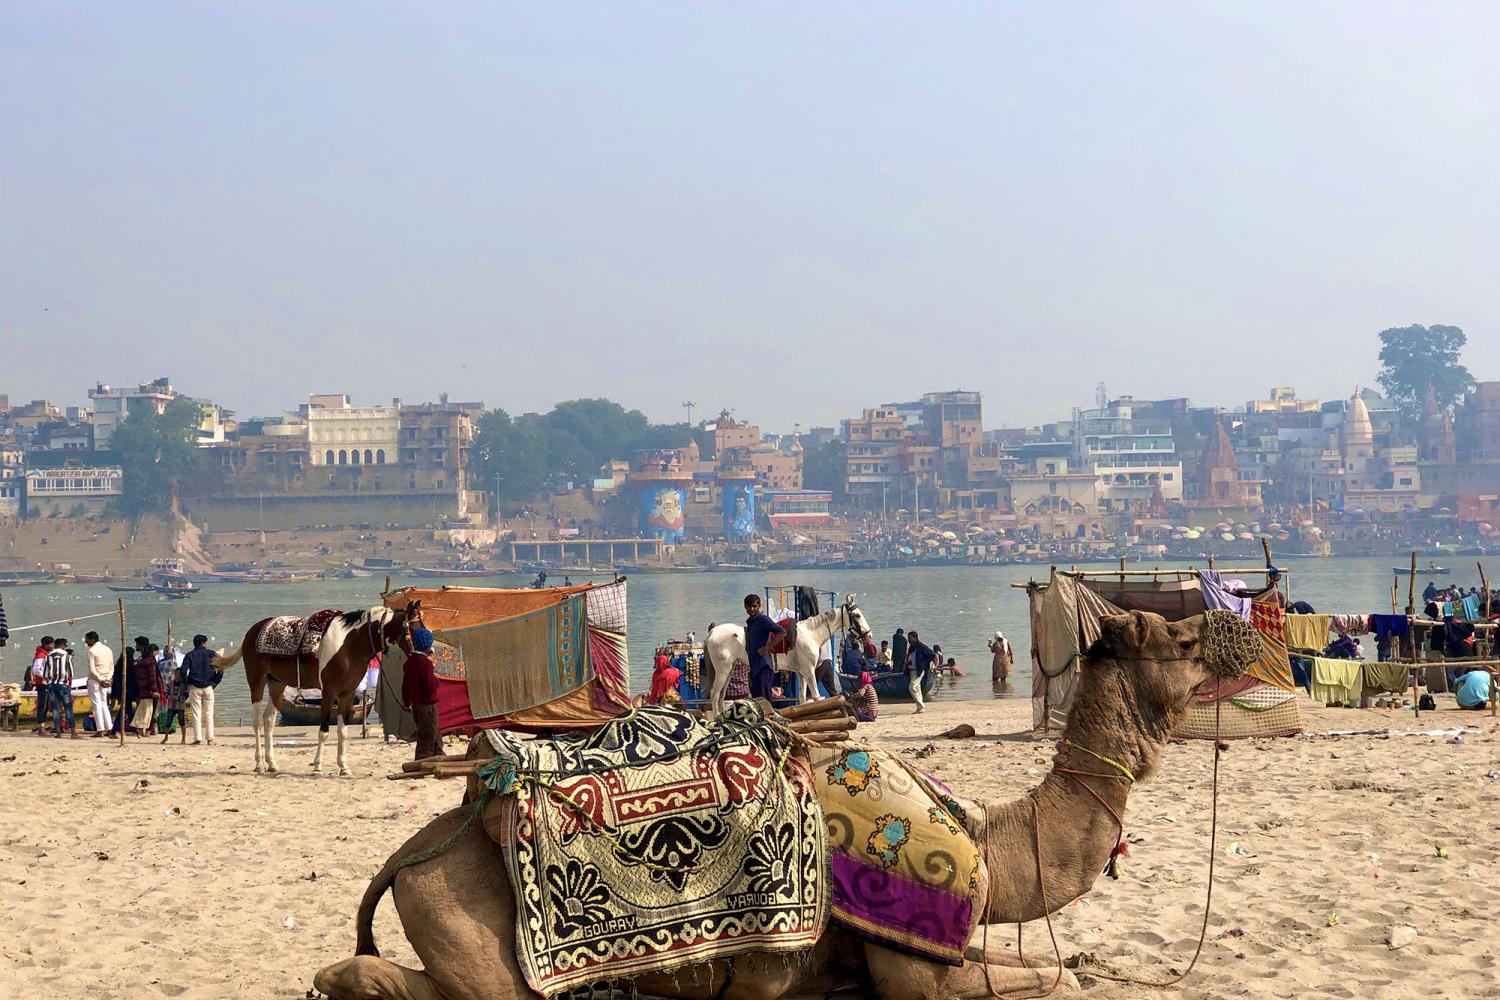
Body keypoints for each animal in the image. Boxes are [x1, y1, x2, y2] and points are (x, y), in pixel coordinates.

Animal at [217, 602, 420, 773]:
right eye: (415, 628)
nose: (422, 652)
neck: (349, 645)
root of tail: (252, 631)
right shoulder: (329, 692)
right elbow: (324, 731)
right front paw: (317, 766)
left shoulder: (347, 693)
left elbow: (343, 731)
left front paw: (344, 766)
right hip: (256, 681)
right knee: (257, 722)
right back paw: (259, 764)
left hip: (276, 683)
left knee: (268, 720)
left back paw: (272, 763)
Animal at [319, 611, 1266, 1000]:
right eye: (1179, 637)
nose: (1243, 627)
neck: (995, 843)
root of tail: (404, 858)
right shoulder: (914, 964)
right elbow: (1054, 978)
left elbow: (1062, 969)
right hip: (459, 913)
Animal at [705, 599, 876, 716]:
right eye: (857, 615)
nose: (869, 635)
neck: (810, 634)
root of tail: (712, 632)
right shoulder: (809, 671)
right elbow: (816, 698)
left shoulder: (801, 673)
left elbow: (802, 699)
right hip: (723, 670)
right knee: (714, 694)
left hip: (730, 669)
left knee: (721, 695)